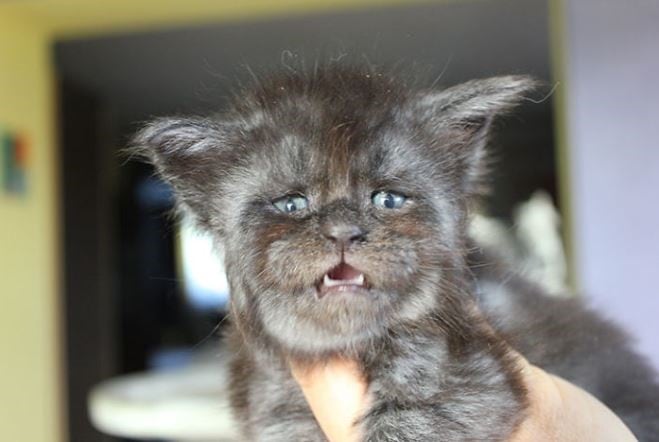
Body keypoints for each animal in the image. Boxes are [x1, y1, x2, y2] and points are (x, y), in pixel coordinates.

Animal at [135, 65, 659, 442]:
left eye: (387, 199)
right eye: (292, 204)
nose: (343, 232)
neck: (348, 350)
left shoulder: (464, 382)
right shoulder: (275, 409)